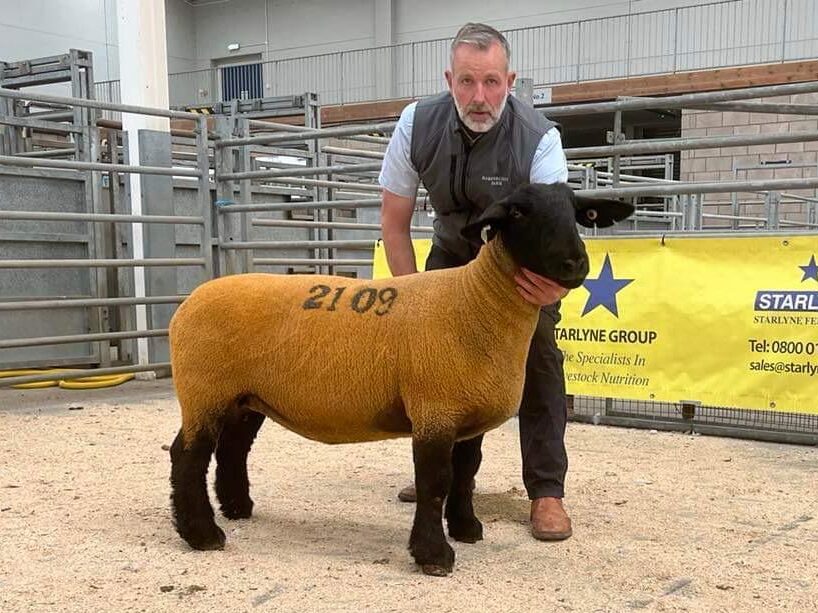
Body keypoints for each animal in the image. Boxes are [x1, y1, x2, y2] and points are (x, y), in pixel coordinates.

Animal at [167, 182, 632, 572]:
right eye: (518, 212)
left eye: (577, 212)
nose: (575, 263)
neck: (475, 301)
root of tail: (188, 302)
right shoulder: (434, 409)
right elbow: (434, 482)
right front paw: (434, 555)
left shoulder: (466, 414)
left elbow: (467, 472)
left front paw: (465, 529)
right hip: (204, 389)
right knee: (187, 455)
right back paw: (203, 534)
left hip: (247, 396)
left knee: (232, 449)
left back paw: (237, 507)